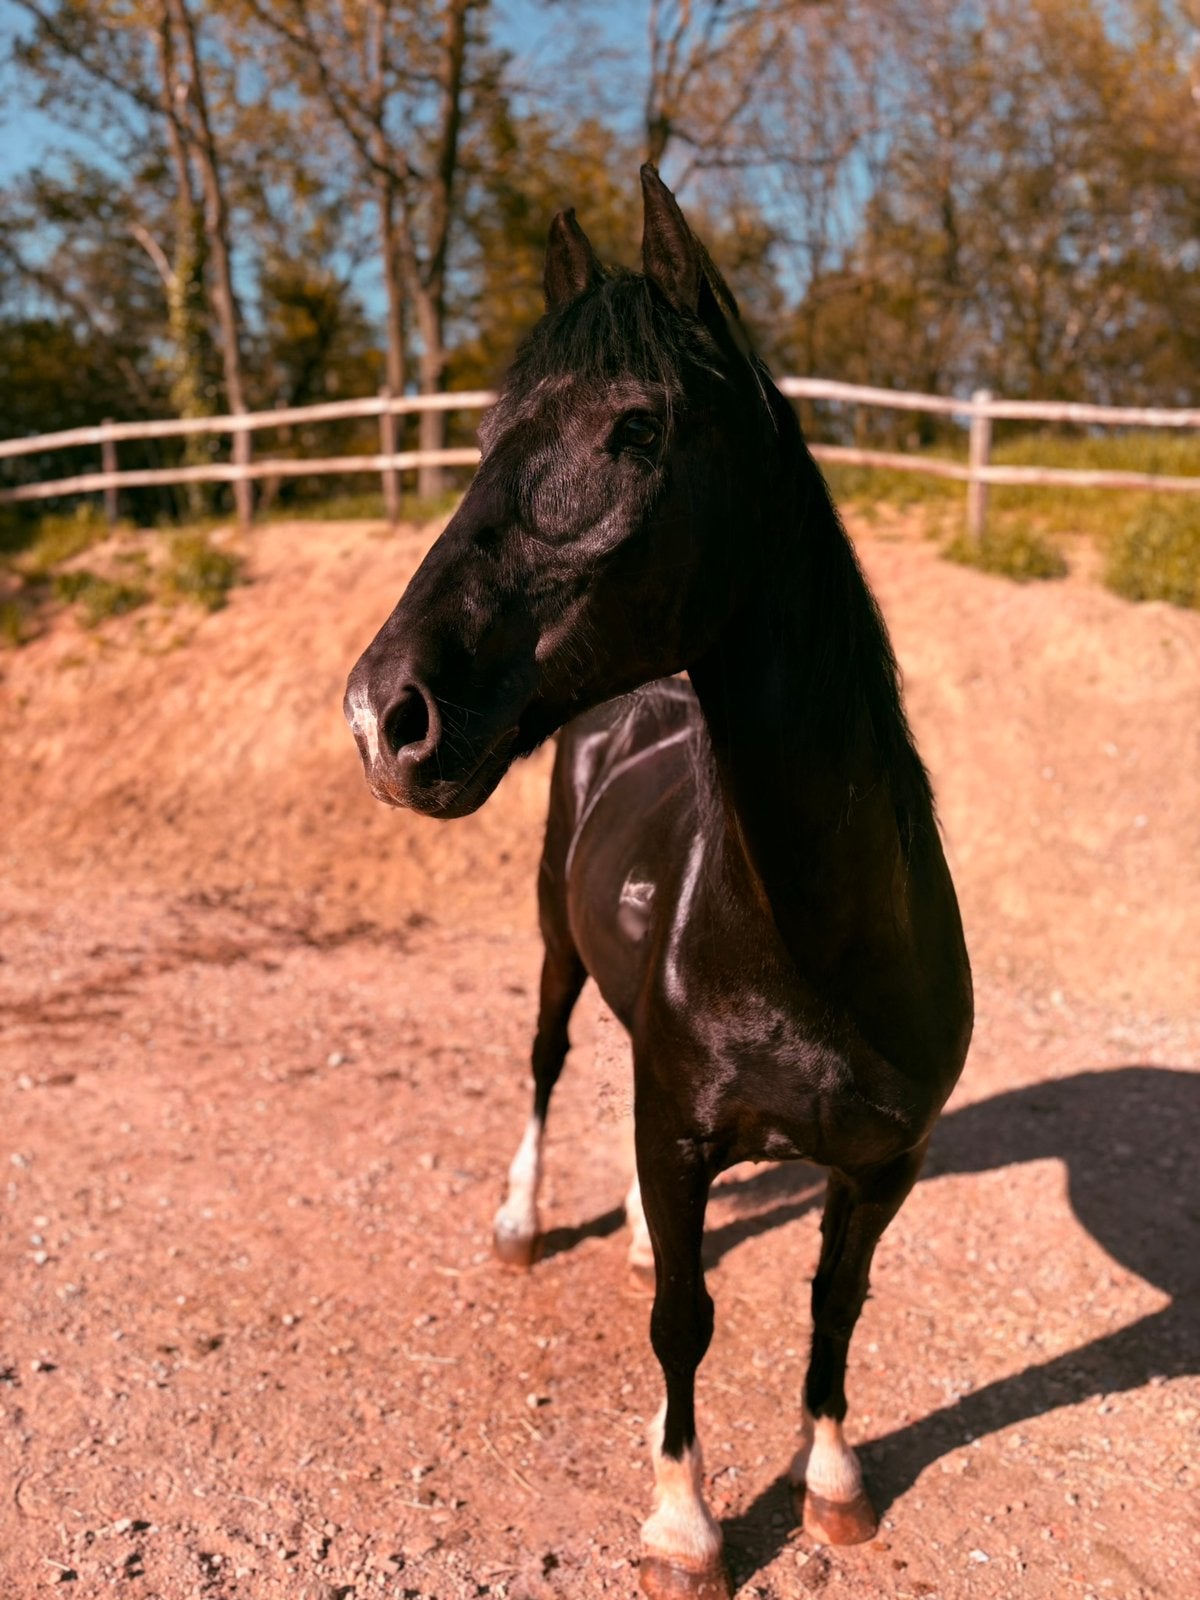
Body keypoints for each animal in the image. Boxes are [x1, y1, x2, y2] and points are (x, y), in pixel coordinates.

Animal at [344, 165, 973, 1600]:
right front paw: (684, 1518)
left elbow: (833, 1307)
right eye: (485, 434)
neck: (819, 951)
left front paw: (835, 1478)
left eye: (636, 430)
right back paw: (525, 1224)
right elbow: (685, 1320)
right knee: (544, 1066)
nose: (383, 713)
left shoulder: (885, 1164)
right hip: (554, 955)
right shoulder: (685, 1133)